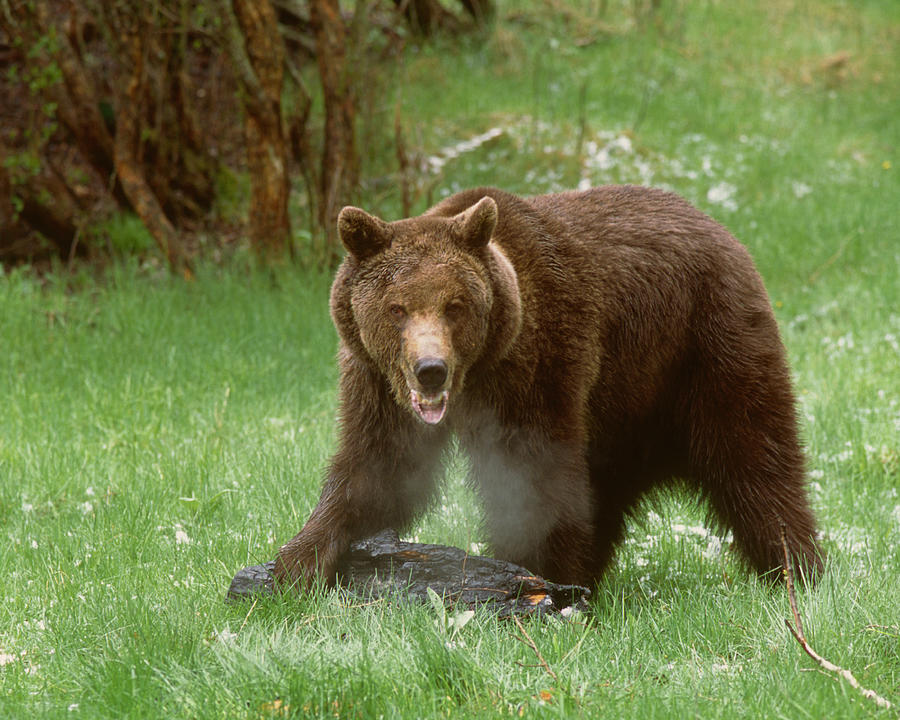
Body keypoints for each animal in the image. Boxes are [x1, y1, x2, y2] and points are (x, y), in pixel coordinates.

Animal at [274, 186, 824, 592]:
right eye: (397, 308)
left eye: (455, 305)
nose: (431, 369)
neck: (479, 371)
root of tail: (720, 227)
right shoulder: (378, 384)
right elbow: (377, 470)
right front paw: (298, 561)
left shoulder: (540, 368)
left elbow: (536, 478)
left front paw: (535, 576)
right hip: (624, 409)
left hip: (703, 347)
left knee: (755, 456)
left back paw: (796, 568)